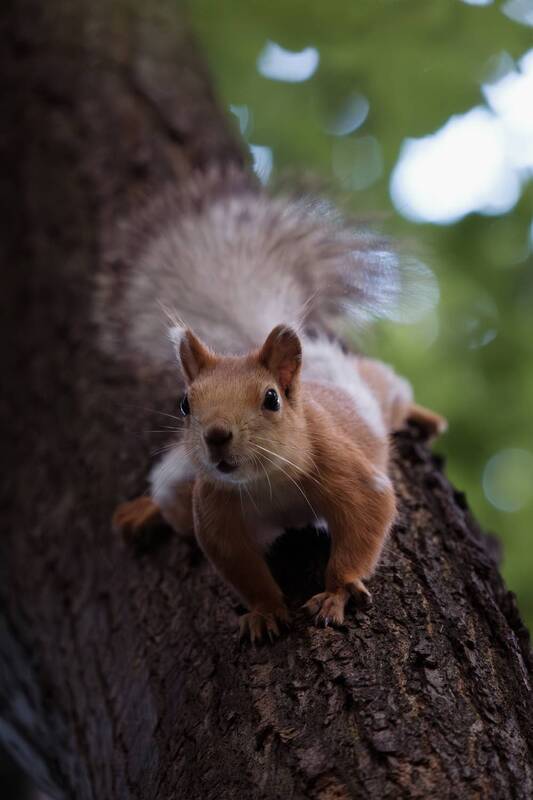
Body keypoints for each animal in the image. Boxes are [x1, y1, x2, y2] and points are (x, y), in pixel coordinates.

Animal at [107, 168, 446, 643]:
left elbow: (367, 516)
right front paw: (265, 610)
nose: (216, 436)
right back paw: (143, 512)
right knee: (169, 497)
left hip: (375, 389)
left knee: (394, 390)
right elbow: (242, 569)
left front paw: (336, 593)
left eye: (272, 399)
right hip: (181, 482)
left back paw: (425, 417)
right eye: (185, 404)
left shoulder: (344, 467)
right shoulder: (214, 510)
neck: (267, 482)